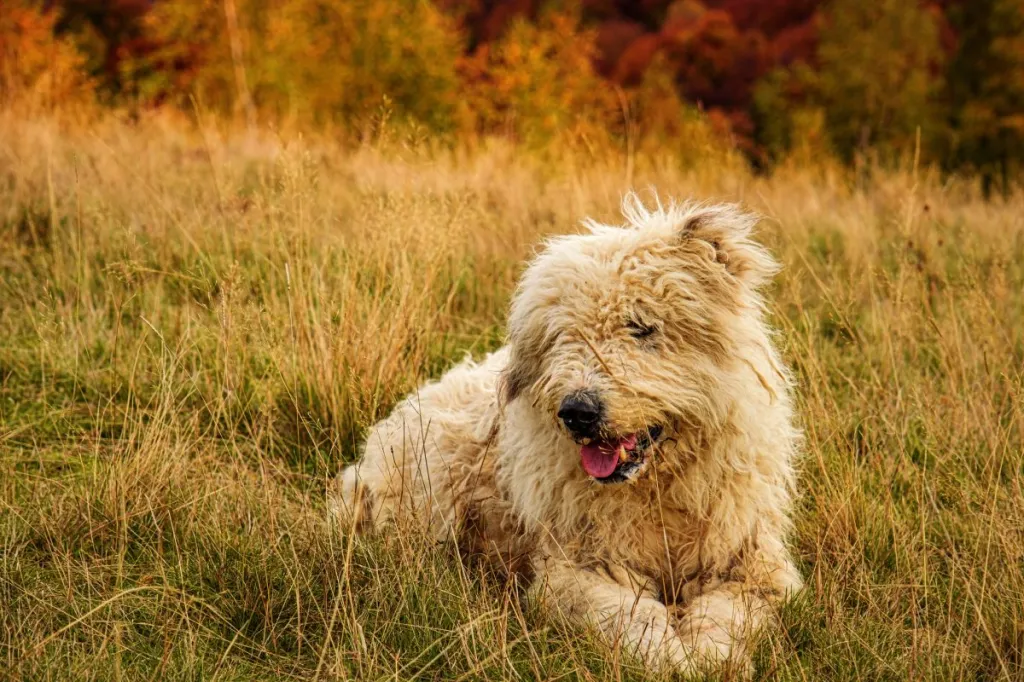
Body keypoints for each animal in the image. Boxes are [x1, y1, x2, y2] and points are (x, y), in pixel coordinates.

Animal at [331, 196, 802, 675]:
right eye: (561, 336)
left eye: (641, 326)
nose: (577, 412)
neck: (654, 494)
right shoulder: (579, 569)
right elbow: (635, 621)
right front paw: (674, 659)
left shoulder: (751, 568)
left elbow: (725, 619)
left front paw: (708, 658)